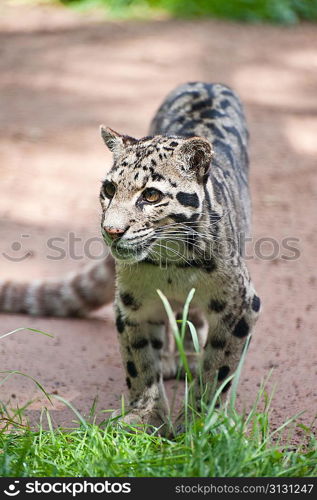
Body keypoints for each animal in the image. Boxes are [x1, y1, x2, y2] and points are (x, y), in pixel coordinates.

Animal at [0, 82, 260, 434]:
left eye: (150, 195)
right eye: (109, 189)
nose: (111, 230)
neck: (172, 264)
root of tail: (205, 82)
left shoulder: (239, 303)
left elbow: (218, 370)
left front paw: (199, 422)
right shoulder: (133, 305)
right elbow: (140, 364)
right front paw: (143, 418)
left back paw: (190, 358)